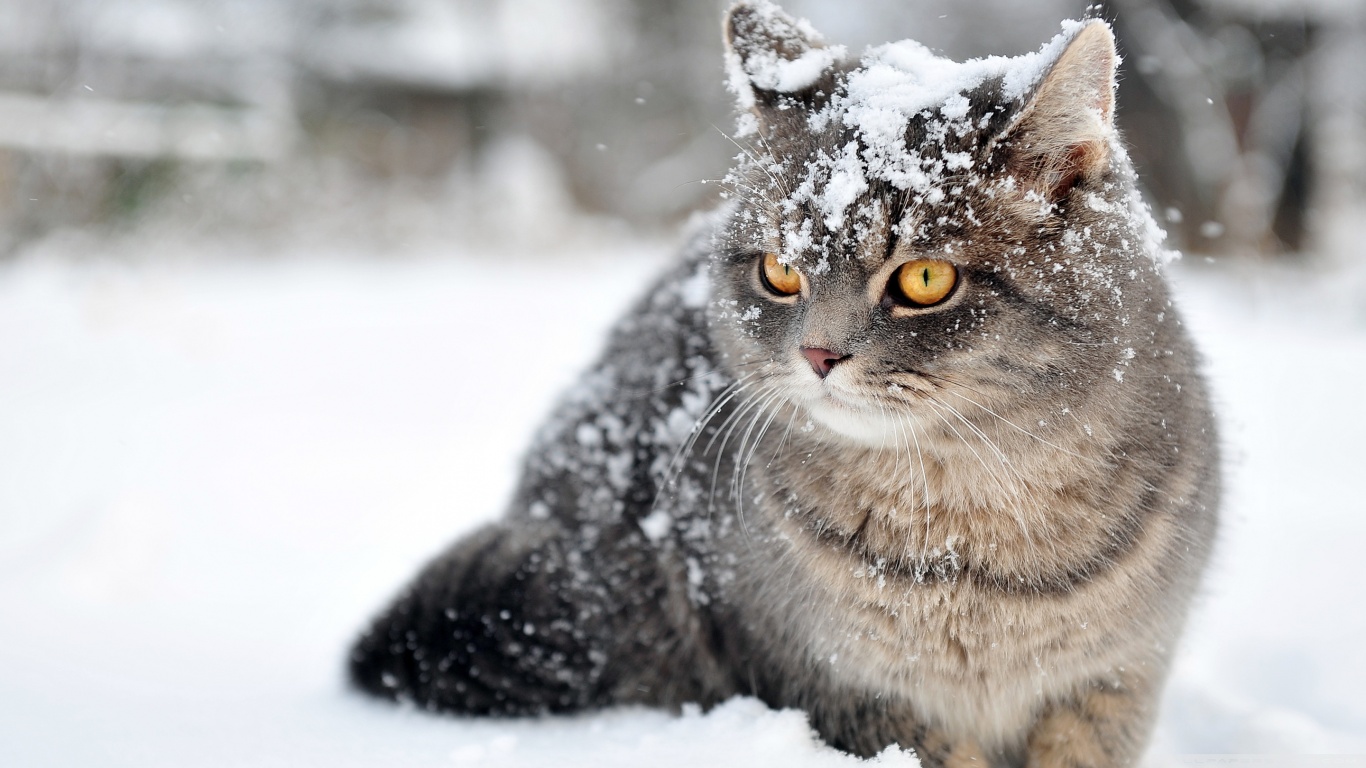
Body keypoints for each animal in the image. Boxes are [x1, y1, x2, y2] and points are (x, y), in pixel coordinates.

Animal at [346, 2, 1223, 759]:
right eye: (779, 272)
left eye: (926, 279)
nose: (818, 355)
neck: (966, 544)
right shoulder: (839, 685)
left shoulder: (1113, 682)